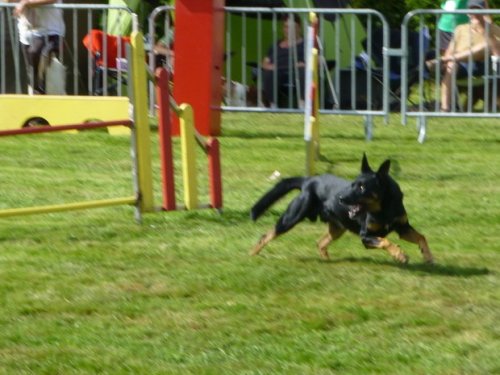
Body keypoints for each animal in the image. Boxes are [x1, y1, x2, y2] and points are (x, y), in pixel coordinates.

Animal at [250, 153, 434, 264]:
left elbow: (422, 237)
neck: (384, 207)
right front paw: (400, 254)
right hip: (292, 217)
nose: (340, 199)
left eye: (362, 187)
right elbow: (385, 241)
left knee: (320, 243)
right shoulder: (366, 236)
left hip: (338, 227)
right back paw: (252, 254)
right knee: (267, 235)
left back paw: (327, 261)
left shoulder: (403, 227)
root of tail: (308, 181)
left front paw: (428, 257)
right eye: (352, 184)